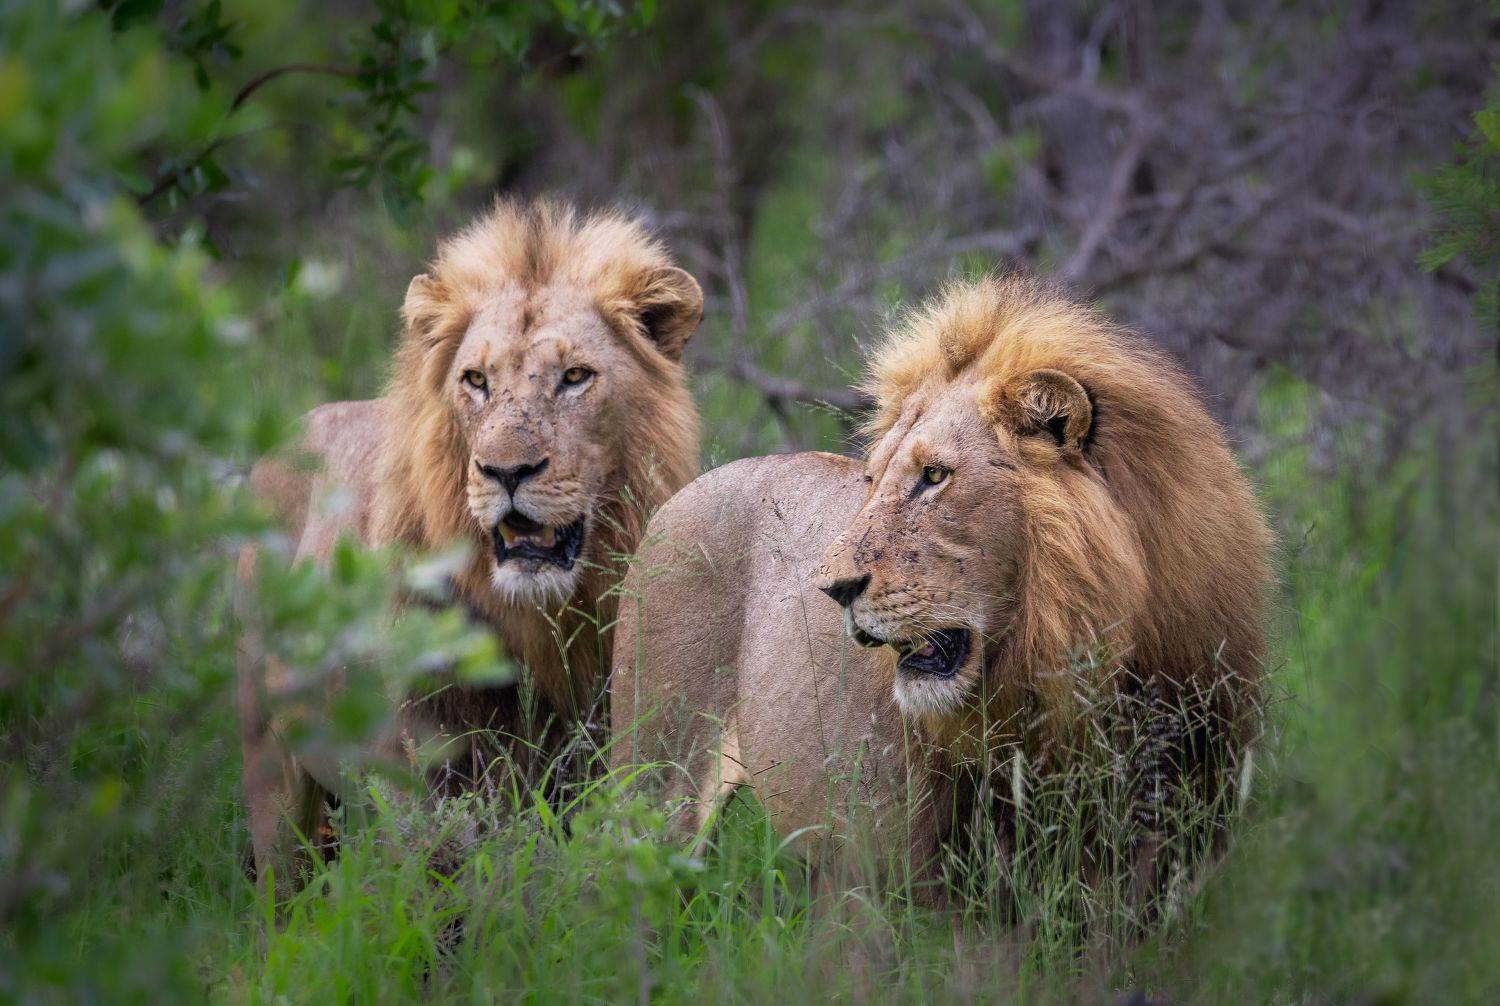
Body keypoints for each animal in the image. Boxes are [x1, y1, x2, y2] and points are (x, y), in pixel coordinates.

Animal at [239, 199, 703, 889]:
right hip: (268, 759)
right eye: (477, 380)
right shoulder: (427, 771)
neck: (543, 624)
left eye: (575, 377)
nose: (507, 472)